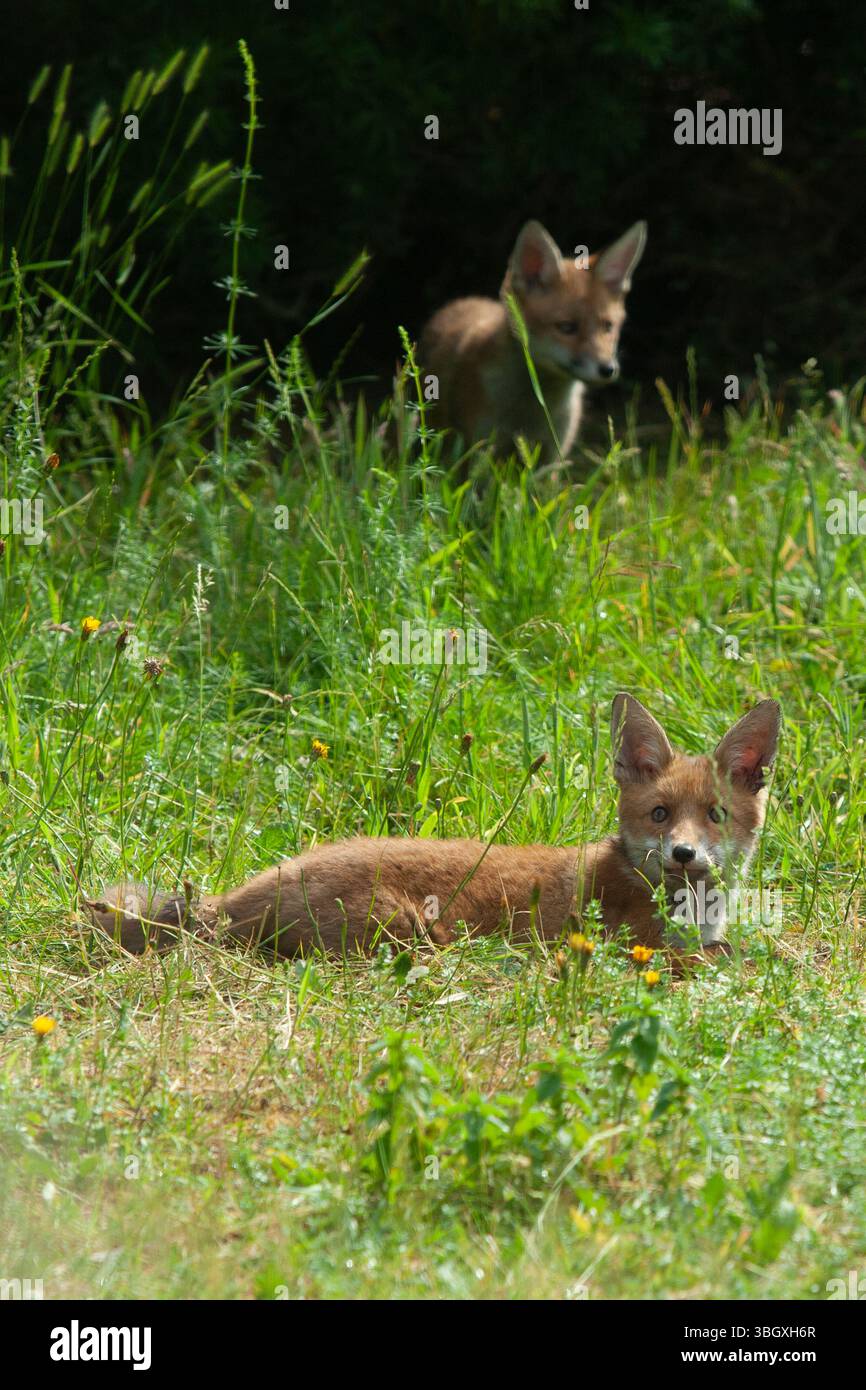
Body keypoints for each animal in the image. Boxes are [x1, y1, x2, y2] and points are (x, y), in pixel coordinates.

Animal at [84, 693, 779, 964]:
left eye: (715, 815)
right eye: (659, 814)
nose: (684, 854)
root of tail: (243, 893)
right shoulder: (636, 947)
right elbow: (726, 955)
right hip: (412, 929)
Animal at [418, 219, 647, 463]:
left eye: (608, 327)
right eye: (567, 327)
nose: (608, 369)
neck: (530, 411)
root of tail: (463, 301)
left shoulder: (552, 456)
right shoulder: (481, 450)